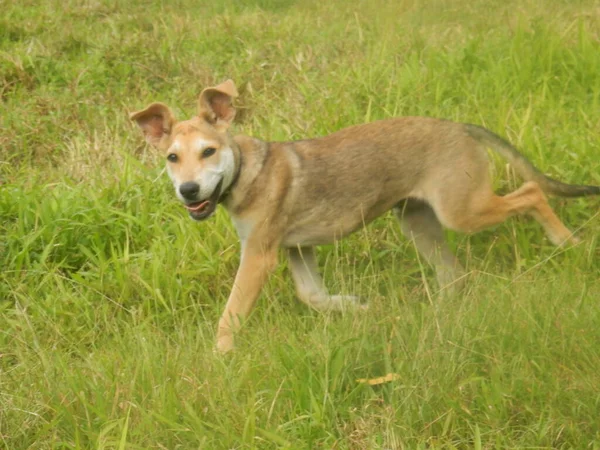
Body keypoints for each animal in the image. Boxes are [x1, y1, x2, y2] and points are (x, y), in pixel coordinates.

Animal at [129, 79, 596, 352]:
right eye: (172, 158)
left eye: (208, 151)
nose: (188, 191)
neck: (245, 170)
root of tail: (458, 126)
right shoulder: (297, 250)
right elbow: (313, 297)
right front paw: (356, 307)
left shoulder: (259, 255)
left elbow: (231, 314)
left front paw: (220, 358)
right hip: (419, 222)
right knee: (454, 275)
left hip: (461, 211)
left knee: (532, 192)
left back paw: (568, 243)